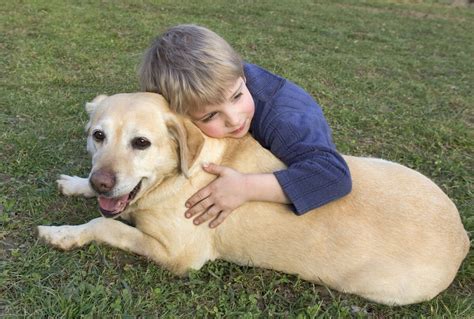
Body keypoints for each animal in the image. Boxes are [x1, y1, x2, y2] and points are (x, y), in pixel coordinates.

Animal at [36, 92, 466, 304]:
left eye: (141, 143)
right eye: (98, 136)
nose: (102, 182)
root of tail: (462, 237)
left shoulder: (179, 255)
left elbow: (105, 224)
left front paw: (62, 233)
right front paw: (77, 183)